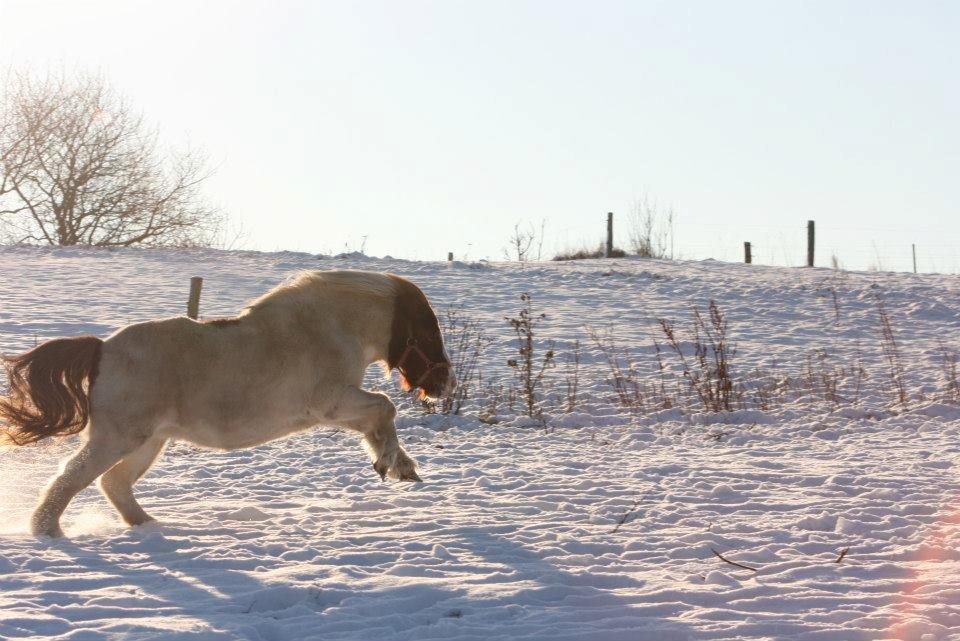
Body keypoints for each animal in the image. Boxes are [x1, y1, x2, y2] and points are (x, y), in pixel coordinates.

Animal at [0, 268, 458, 536]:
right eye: (428, 331)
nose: (447, 383)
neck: (331, 325)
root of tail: (102, 349)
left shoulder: (340, 407)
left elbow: (378, 420)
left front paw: (400, 466)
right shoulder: (331, 402)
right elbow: (384, 407)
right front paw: (390, 463)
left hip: (149, 442)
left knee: (113, 483)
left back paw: (150, 527)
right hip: (118, 439)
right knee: (72, 477)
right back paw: (47, 531)